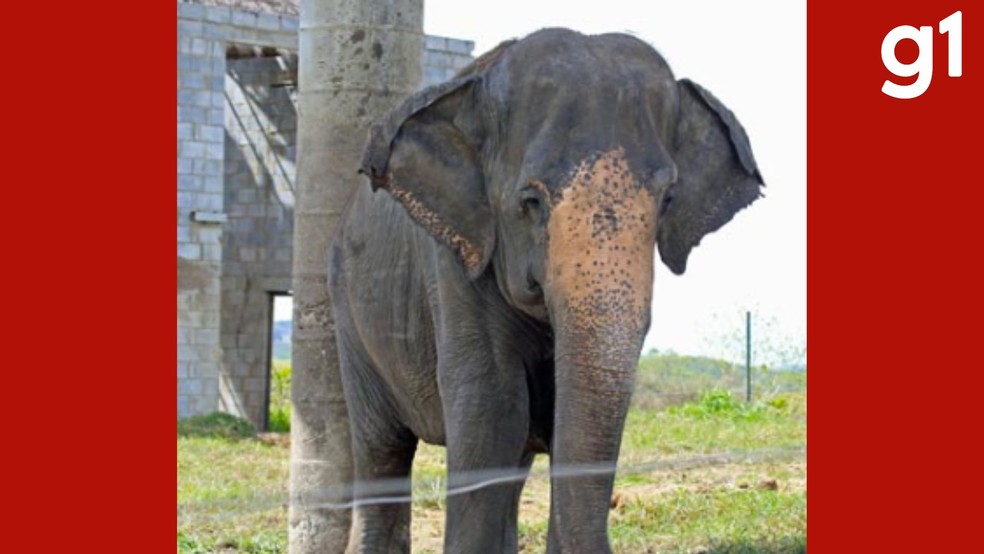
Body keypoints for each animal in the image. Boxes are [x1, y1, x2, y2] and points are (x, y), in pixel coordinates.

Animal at [328, 28, 763, 553]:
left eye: (668, 201)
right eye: (531, 201)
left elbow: (556, 420)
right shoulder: (455, 262)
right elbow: (493, 408)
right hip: (349, 320)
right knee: (382, 451)